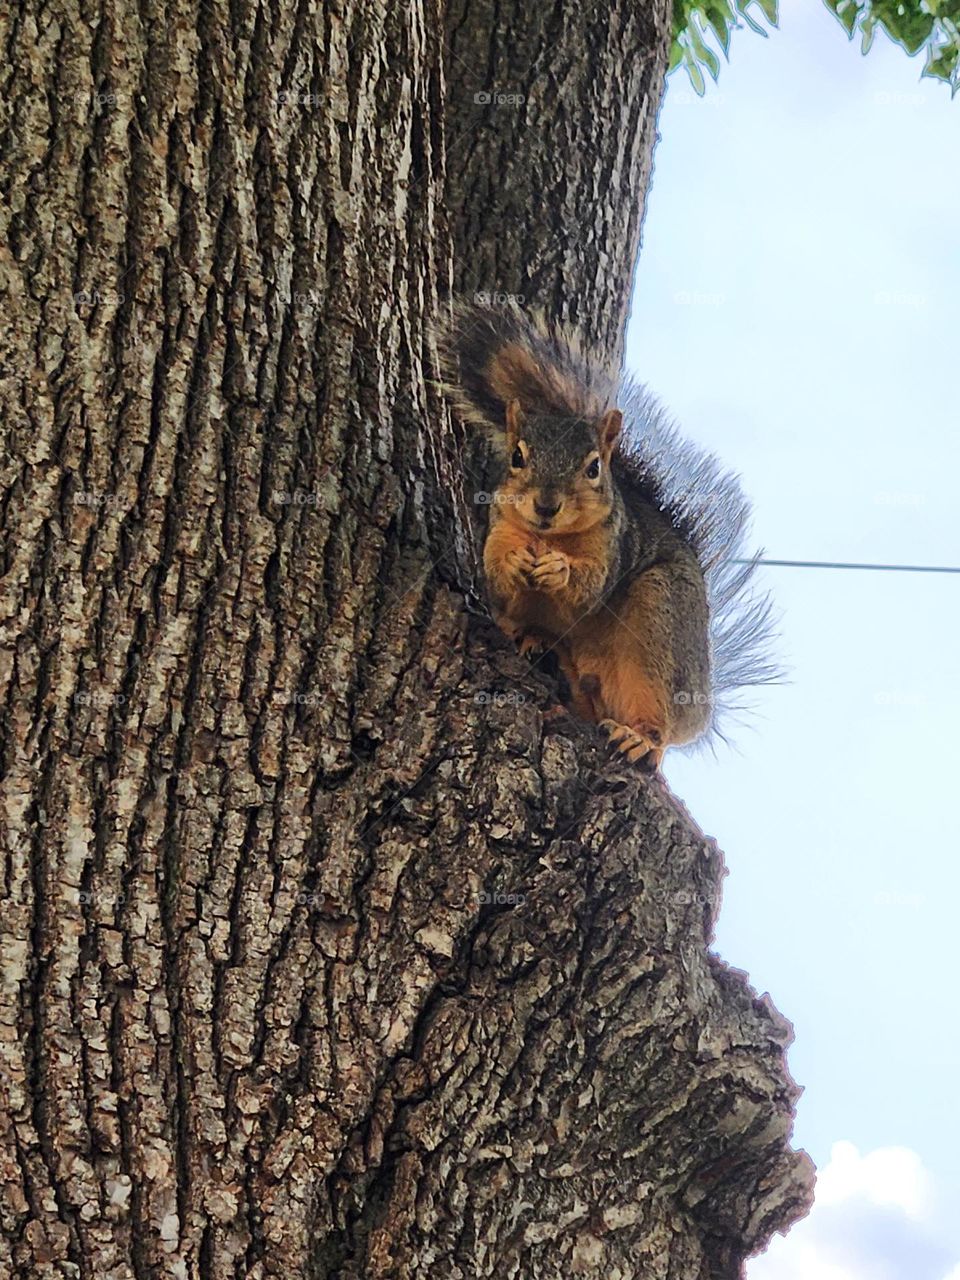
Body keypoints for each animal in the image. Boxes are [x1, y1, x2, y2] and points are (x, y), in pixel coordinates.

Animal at [437, 299, 777, 771]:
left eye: (594, 467)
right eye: (517, 457)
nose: (546, 506)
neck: (549, 537)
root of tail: (701, 708)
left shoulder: (612, 547)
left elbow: (588, 589)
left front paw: (559, 569)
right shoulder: (499, 530)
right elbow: (497, 585)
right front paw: (518, 565)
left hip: (661, 617)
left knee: (660, 725)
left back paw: (641, 739)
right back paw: (539, 644)